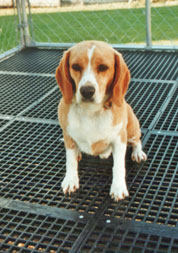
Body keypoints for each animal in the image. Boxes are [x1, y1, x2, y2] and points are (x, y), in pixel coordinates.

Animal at [55, 40, 146, 202]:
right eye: (75, 66)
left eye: (103, 67)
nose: (87, 91)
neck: (91, 111)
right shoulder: (68, 136)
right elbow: (70, 161)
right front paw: (71, 179)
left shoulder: (120, 140)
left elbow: (118, 166)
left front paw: (118, 187)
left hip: (132, 130)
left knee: (137, 141)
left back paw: (137, 153)